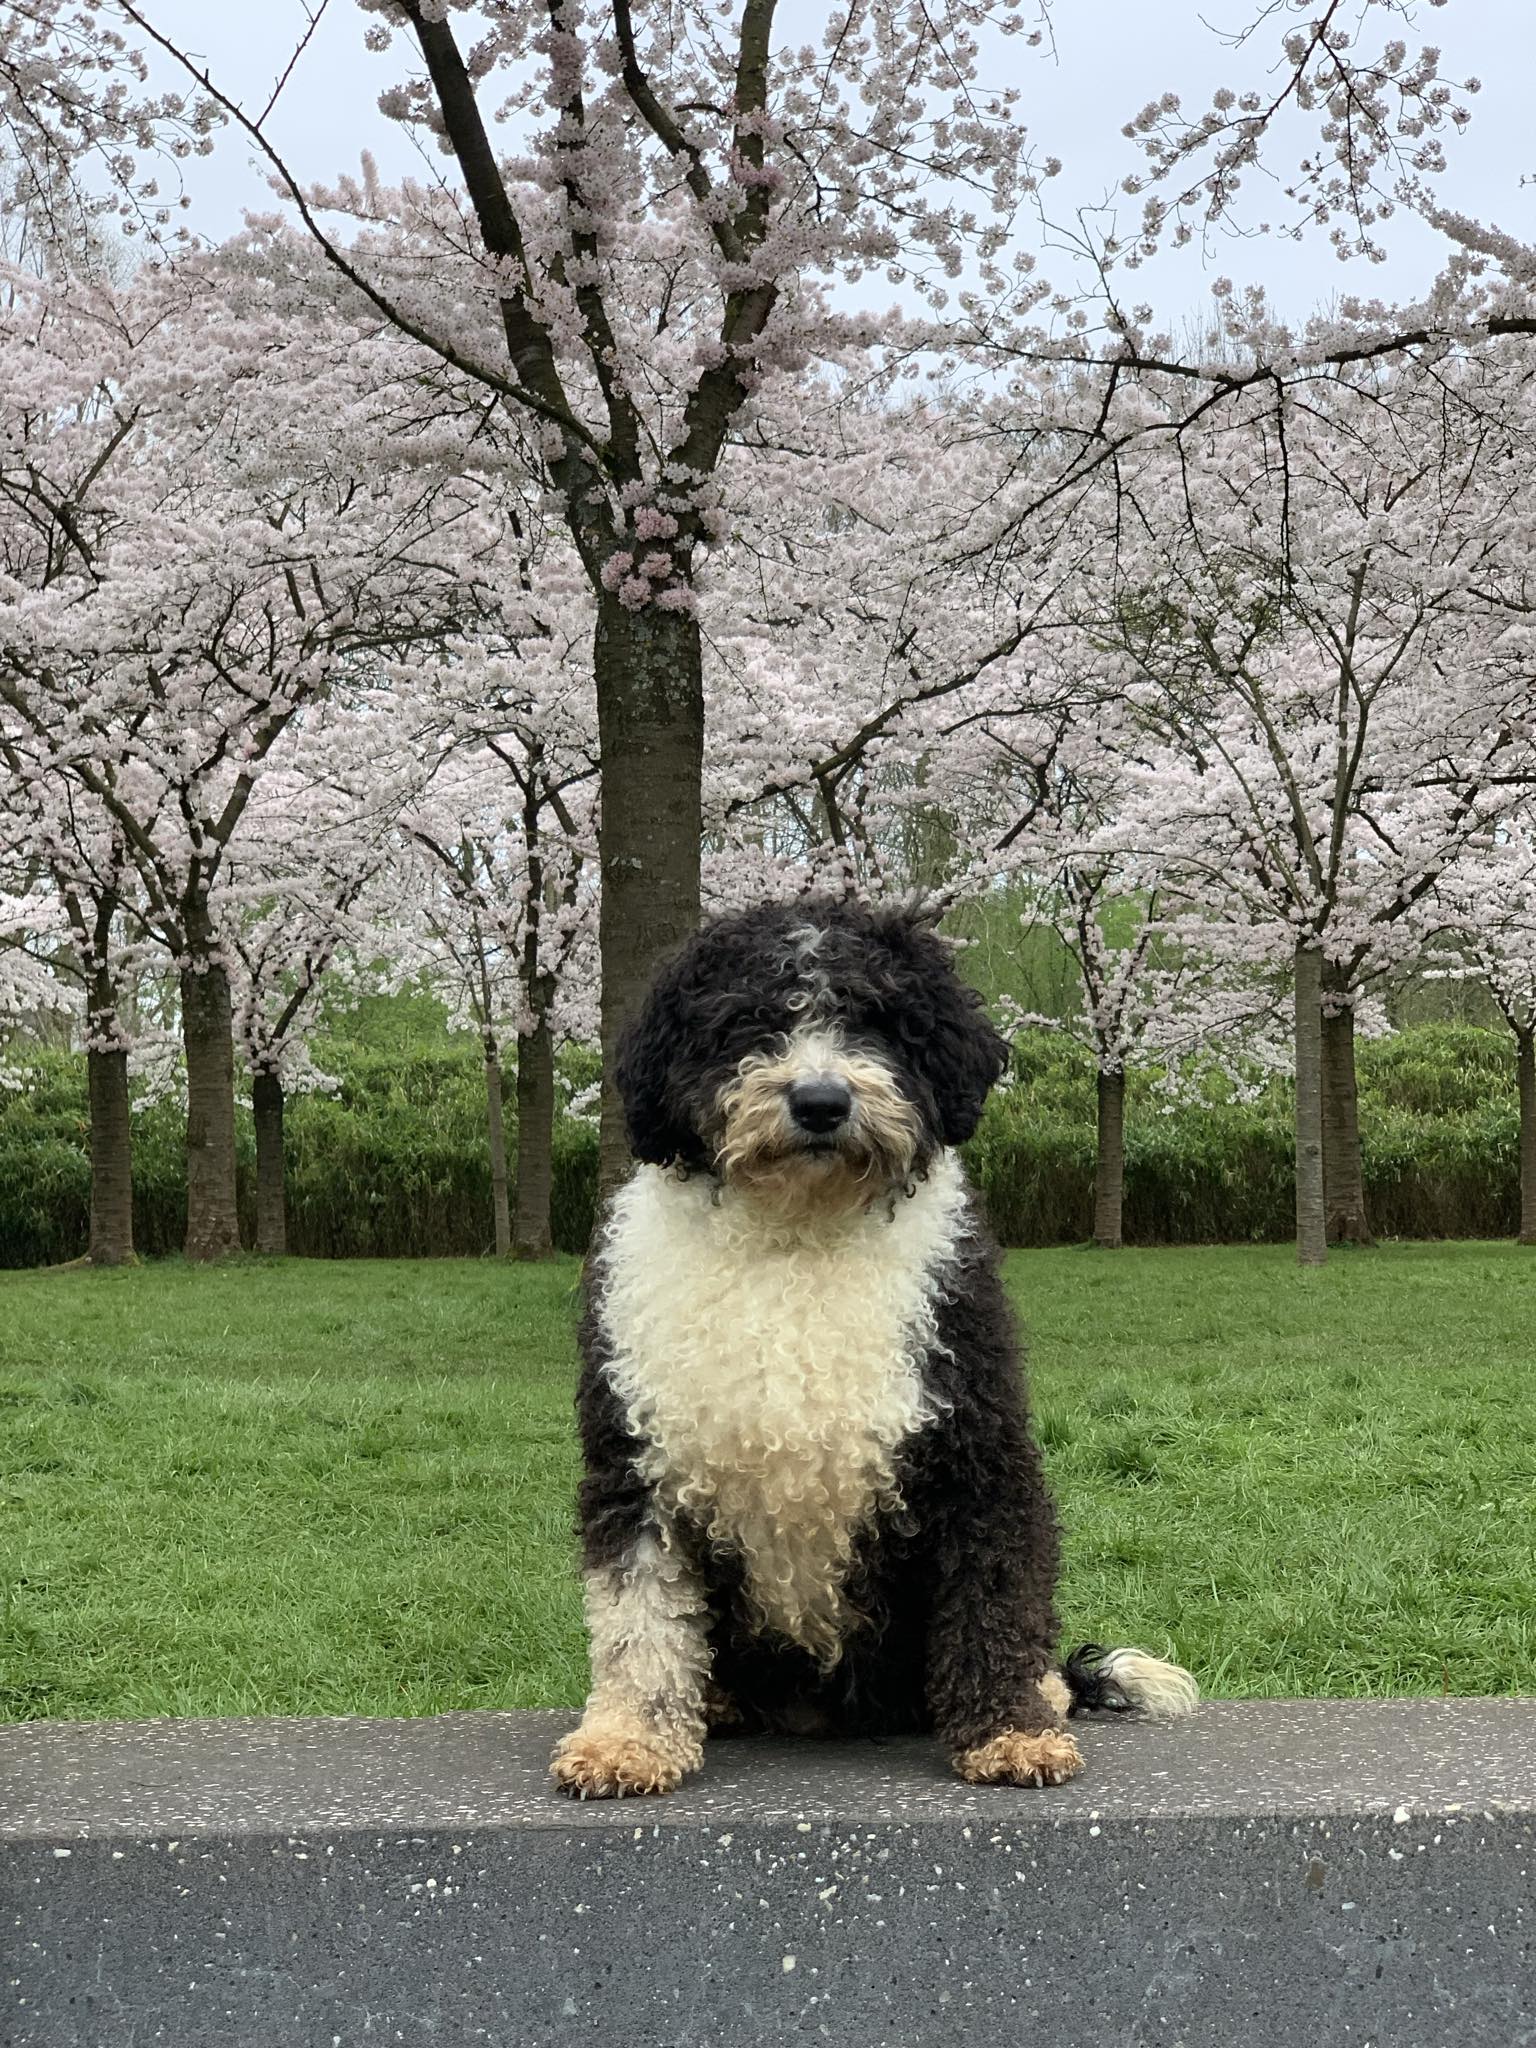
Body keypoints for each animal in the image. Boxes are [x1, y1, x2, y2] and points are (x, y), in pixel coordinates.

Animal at [557, 897, 1204, 1794]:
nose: (821, 1101)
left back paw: (1043, 1692)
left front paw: (1010, 1731)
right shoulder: (638, 1462)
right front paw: (628, 1740)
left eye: (879, 1020)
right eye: (746, 1021)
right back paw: (714, 1700)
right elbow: (638, 1616)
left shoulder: (975, 1452)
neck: (799, 1239)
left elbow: (992, 1597)